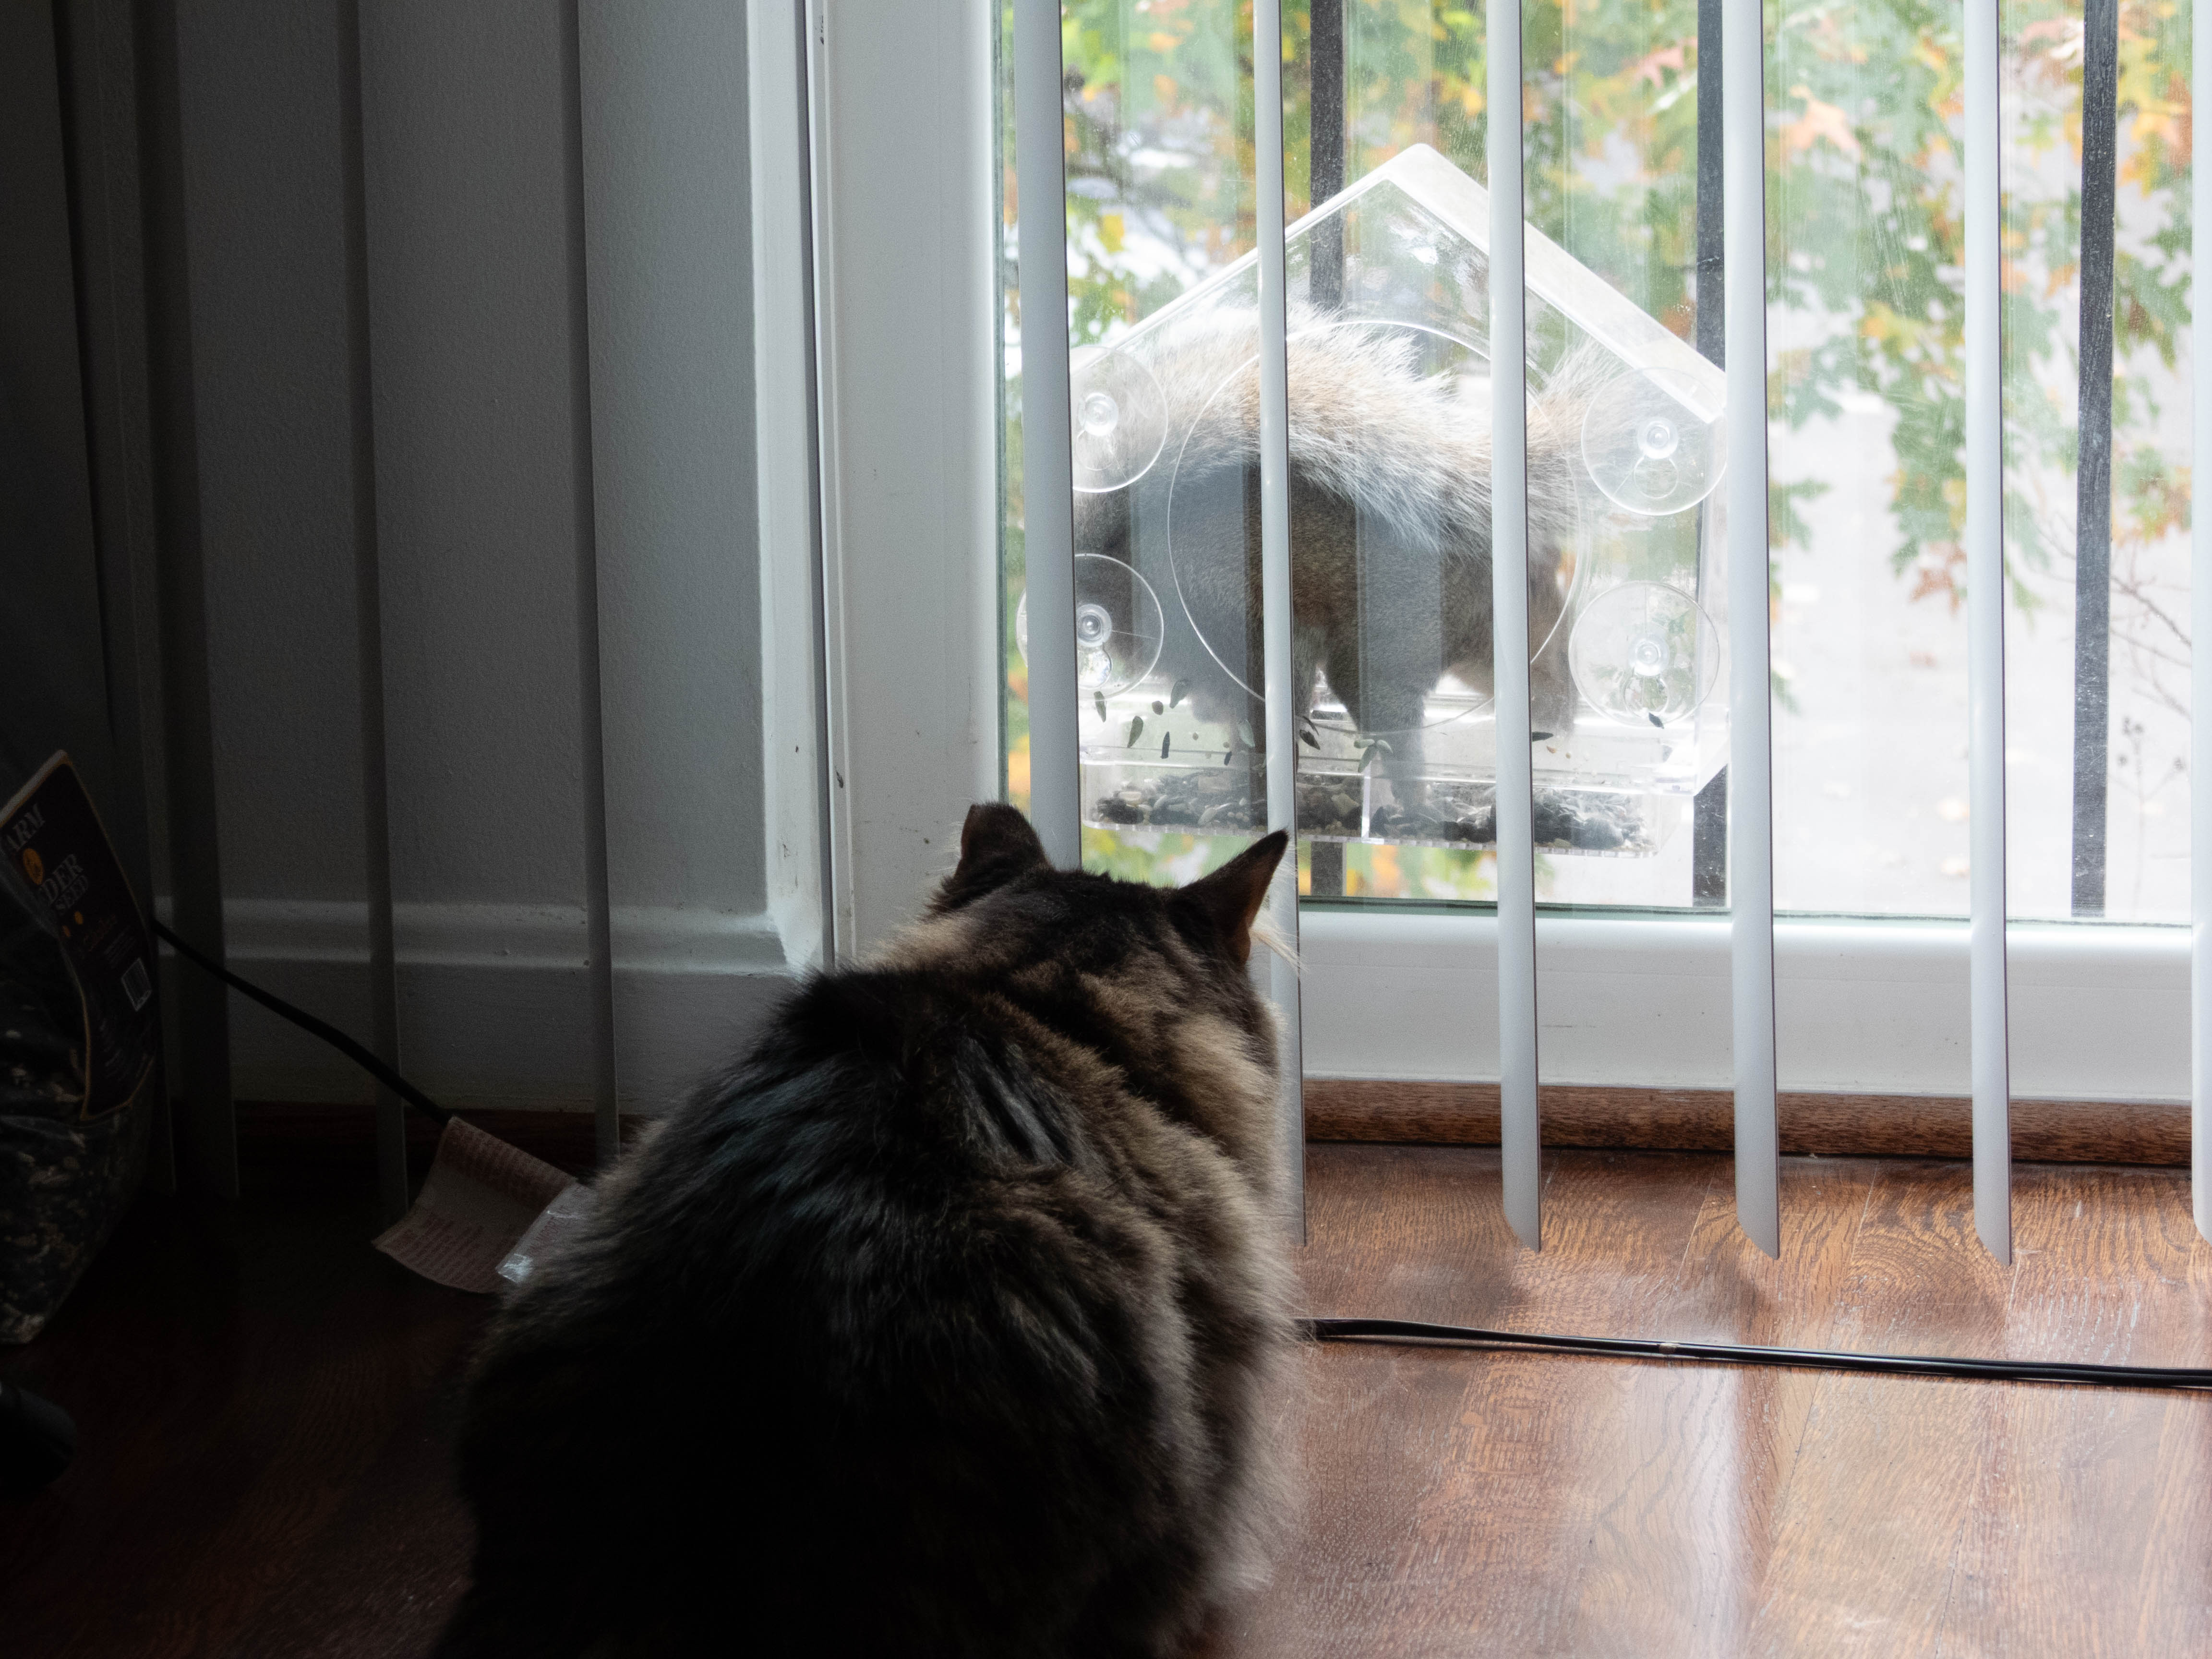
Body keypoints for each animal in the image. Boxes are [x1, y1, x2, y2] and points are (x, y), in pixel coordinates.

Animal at [1071, 312, 1598, 802]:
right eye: (1553, 650)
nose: (1567, 719)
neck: (1475, 593)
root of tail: (1110, 569)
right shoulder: (1399, 632)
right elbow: (1381, 710)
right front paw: (1417, 797)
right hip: (1241, 623)